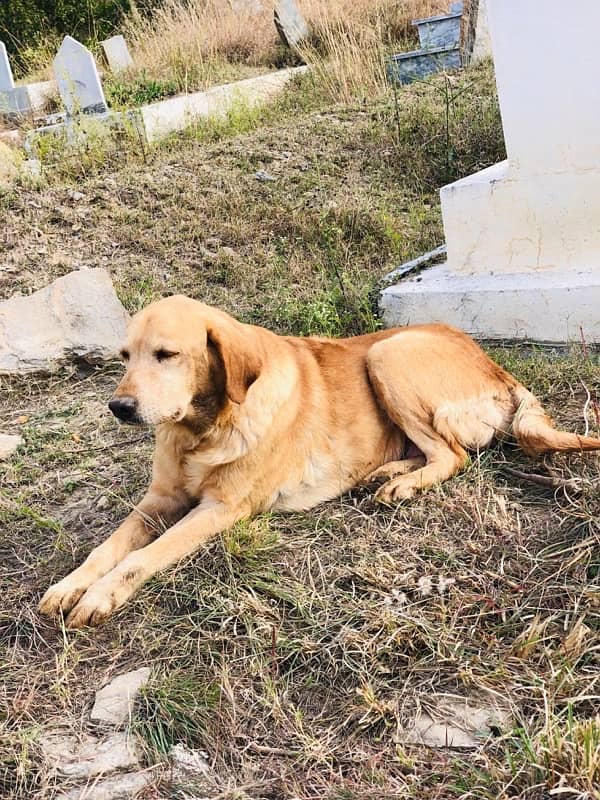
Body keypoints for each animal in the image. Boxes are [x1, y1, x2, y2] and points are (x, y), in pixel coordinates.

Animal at [39, 294, 596, 624]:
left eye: (167, 355)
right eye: (124, 357)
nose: (118, 407)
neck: (206, 427)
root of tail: (497, 367)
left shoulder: (222, 509)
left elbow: (142, 556)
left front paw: (100, 596)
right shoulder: (159, 499)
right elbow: (107, 548)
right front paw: (69, 586)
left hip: (388, 353)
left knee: (453, 454)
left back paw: (400, 484)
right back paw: (386, 472)